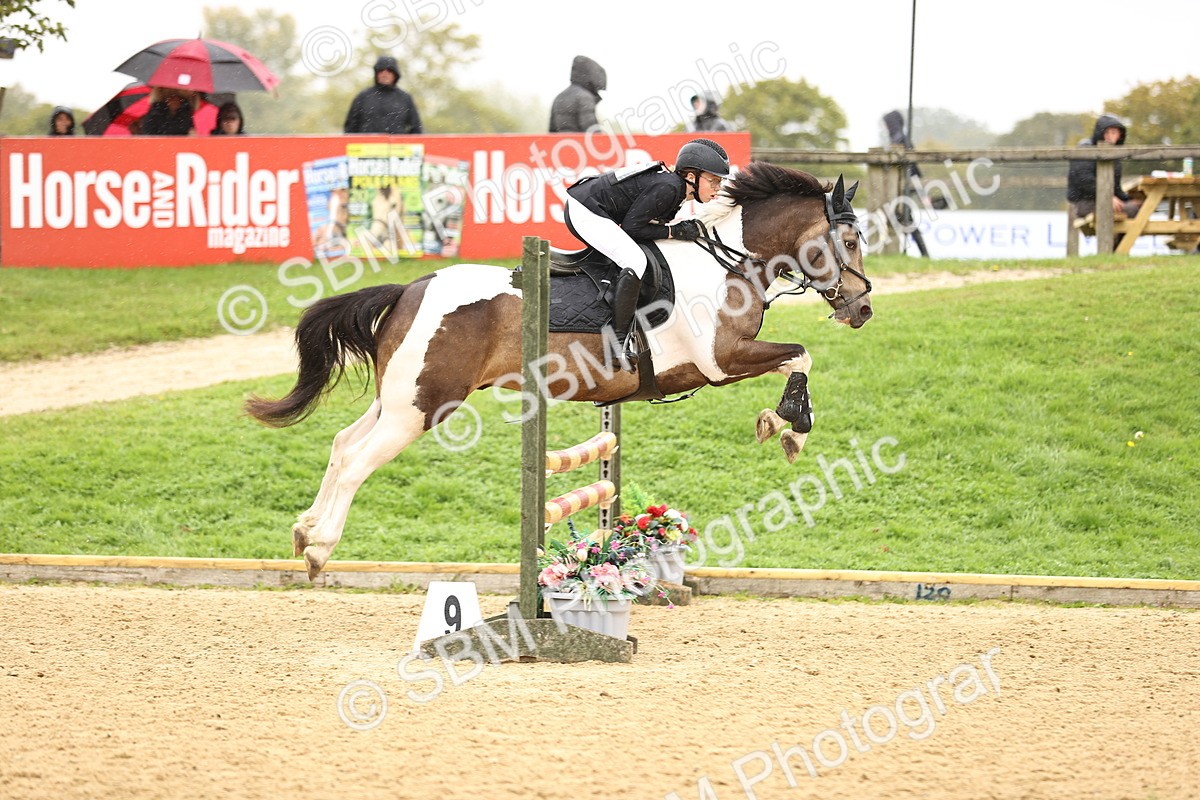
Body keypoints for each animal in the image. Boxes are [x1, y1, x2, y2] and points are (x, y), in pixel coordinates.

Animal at [246, 162, 873, 579]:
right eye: (848, 240)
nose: (862, 308)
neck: (728, 263)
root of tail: (410, 288)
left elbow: (799, 357)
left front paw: (780, 424)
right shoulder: (721, 360)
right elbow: (800, 354)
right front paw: (790, 425)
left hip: (399, 396)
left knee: (341, 444)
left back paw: (304, 530)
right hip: (421, 407)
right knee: (357, 461)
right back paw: (320, 548)